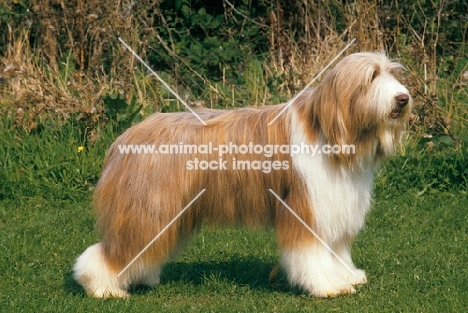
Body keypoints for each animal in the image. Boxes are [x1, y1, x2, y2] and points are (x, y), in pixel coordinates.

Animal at [72, 51, 410, 298]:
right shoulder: (306, 210)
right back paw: (102, 288)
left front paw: (346, 276)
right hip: (148, 210)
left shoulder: (336, 209)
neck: (329, 132)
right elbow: (312, 255)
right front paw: (327, 286)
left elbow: (337, 250)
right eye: (372, 76)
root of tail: (126, 136)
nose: (403, 98)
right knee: (111, 251)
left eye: (392, 74)